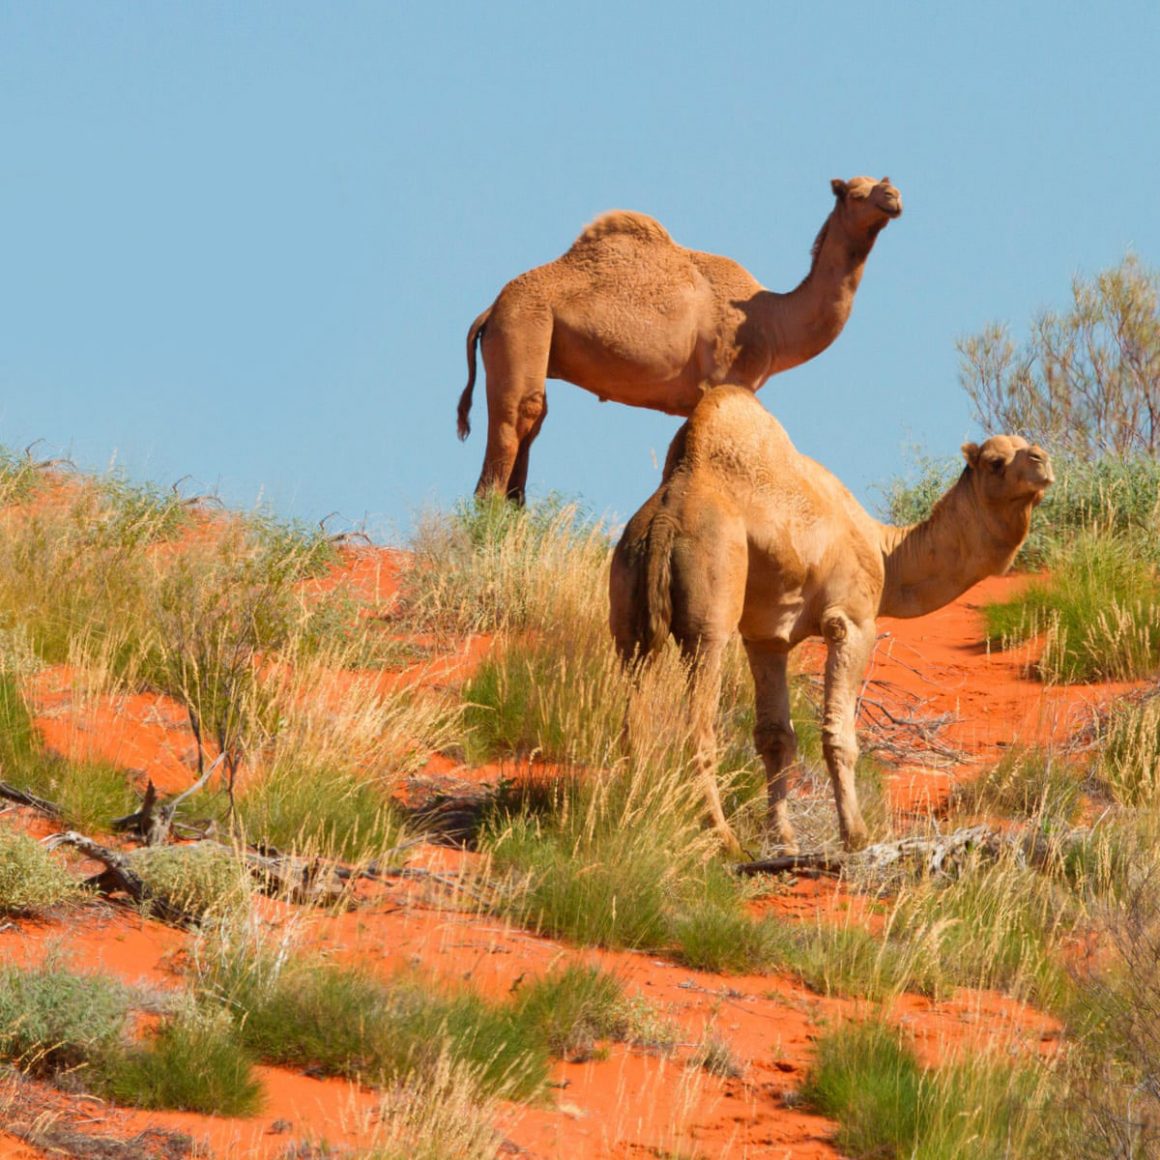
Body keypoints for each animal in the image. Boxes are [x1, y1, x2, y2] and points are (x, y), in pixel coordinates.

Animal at [458, 176, 902, 503]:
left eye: (883, 183)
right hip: (523, 326)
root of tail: (490, 310)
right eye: (857, 192)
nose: (894, 196)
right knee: (516, 421)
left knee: (531, 425)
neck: (770, 317)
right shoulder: (725, 378)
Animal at [609, 387, 1053, 855]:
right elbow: (839, 734)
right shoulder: (852, 620)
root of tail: (665, 517)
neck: (885, 550)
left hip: (628, 593)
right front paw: (855, 834)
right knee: (699, 720)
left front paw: (783, 840)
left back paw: (633, 815)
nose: (1042, 460)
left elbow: (776, 736)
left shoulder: (767, 636)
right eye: (995, 461)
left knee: (633, 714)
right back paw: (723, 838)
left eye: (1026, 446)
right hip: (710, 594)